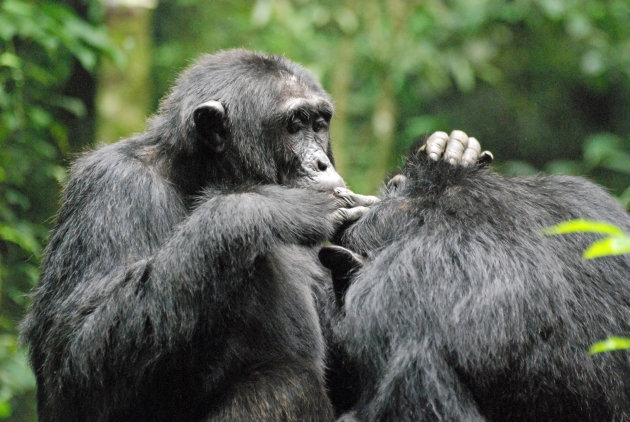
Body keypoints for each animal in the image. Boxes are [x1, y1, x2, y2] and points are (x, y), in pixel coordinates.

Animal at [21, 50, 396, 422]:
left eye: (318, 125)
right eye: (294, 125)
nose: (321, 163)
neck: (196, 176)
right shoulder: (110, 185)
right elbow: (74, 355)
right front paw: (266, 206)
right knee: (285, 382)